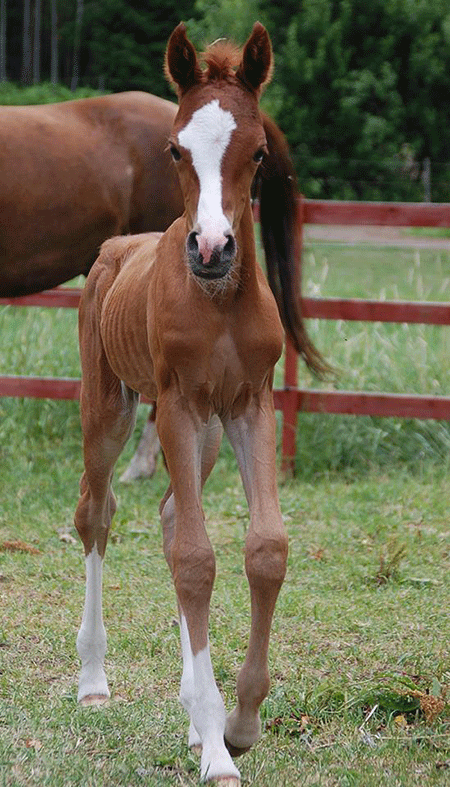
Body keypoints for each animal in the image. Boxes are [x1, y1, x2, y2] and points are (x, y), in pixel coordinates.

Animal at [74, 21, 292, 784]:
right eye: (176, 147)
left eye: (257, 152)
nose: (212, 248)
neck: (219, 303)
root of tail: (118, 245)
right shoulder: (172, 405)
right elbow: (198, 558)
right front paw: (219, 748)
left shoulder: (249, 405)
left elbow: (264, 547)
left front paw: (237, 723)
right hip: (113, 411)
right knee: (97, 513)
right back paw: (93, 680)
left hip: (204, 434)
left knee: (170, 514)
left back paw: (195, 707)